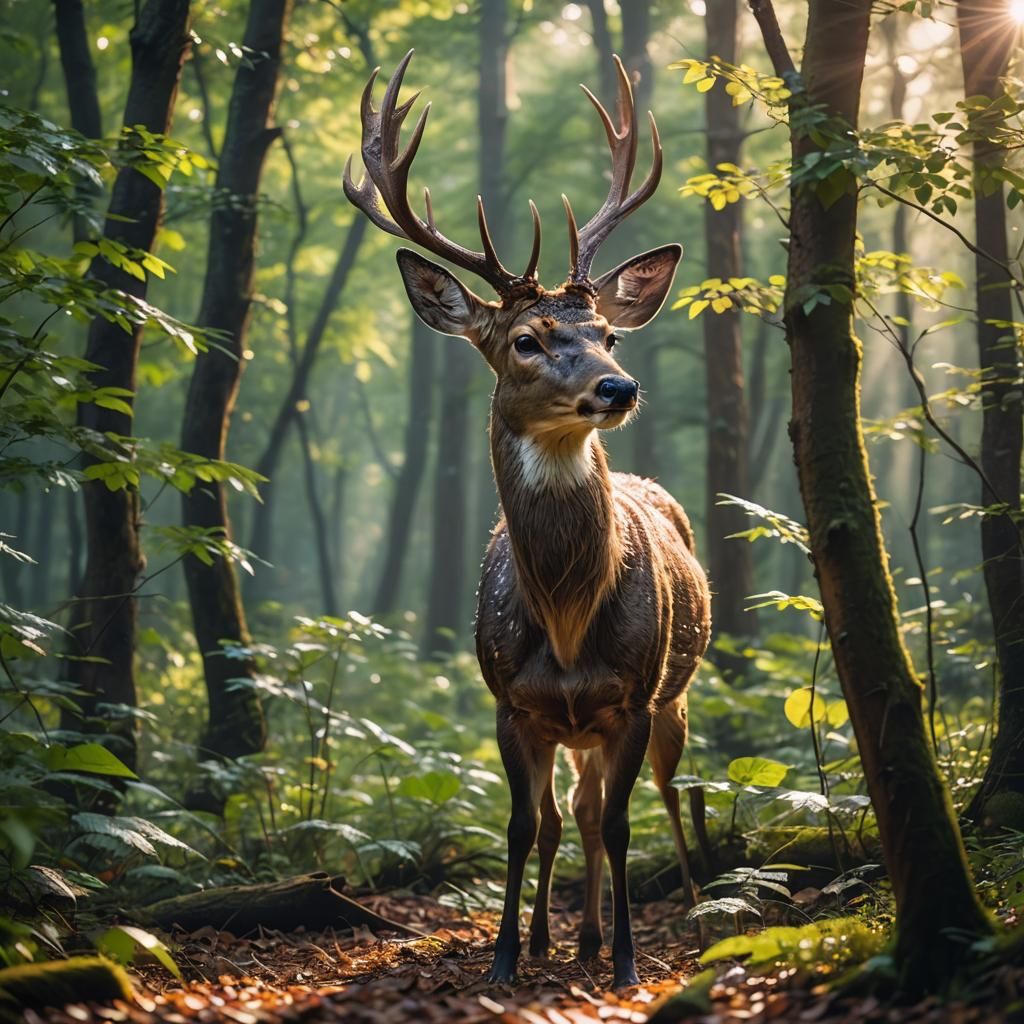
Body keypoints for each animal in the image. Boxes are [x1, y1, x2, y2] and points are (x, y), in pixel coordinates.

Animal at [344, 50, 712, 990]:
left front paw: (626, 962)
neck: (570, 621)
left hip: (674, 696)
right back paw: (563, 937)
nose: (618, 387)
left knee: (659, 797)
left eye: (609, 336)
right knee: (565, 813)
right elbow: (521, 826)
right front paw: (509, 955)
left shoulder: (633, 696)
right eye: (526, 341)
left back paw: (688, 913)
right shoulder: (510, 700)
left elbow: (619, 825)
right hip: (567, 726)